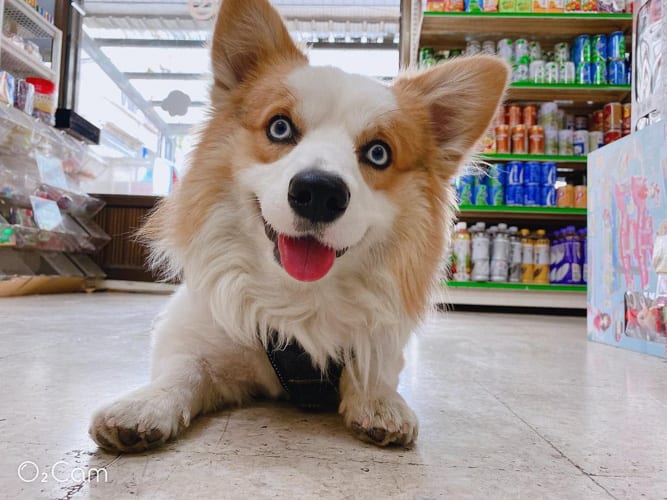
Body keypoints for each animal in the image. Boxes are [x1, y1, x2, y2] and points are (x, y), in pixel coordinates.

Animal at [88, 0, 506, 454]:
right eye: (279, 127)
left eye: (378, 153)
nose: (320, 192)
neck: (297, 300)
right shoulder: (196, 334)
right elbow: (182, 369)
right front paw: (145, 404)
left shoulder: (380, 342)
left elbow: (371, 369)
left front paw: (380, 402)